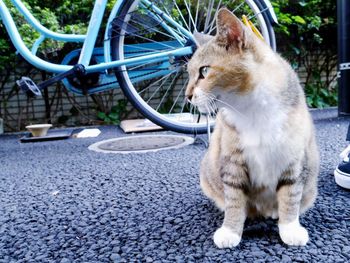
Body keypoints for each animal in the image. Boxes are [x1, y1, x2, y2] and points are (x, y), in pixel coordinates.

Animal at [186, 7, 320, 249]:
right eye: (190, 74)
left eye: (204, 71)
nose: (187, 96)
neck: (253, 109)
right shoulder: (232, 160)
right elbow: (234, 198)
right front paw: (230, 230)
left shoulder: (293, 158)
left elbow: (290, 195)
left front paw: (289, 228)